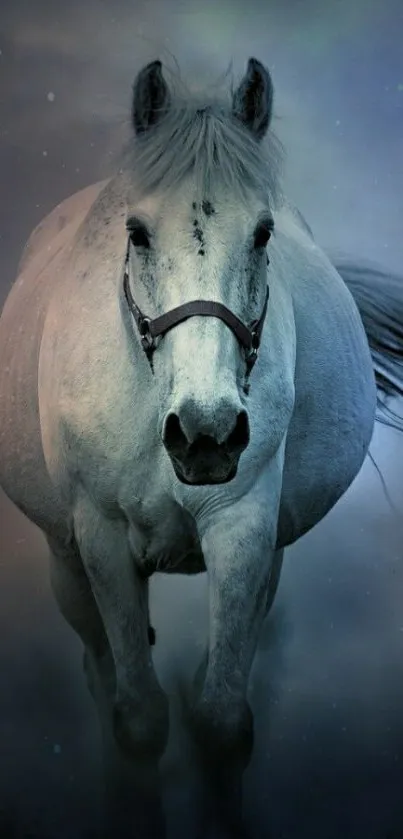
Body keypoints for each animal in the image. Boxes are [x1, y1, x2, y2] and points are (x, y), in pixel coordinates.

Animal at [0, 59, 403, 839]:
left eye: (264, 232)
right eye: (135, 231)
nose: (206, 433)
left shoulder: (244, 531)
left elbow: (220, 721)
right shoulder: (101, 539)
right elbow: (137, 718)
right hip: (66, 561)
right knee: (100, 674)